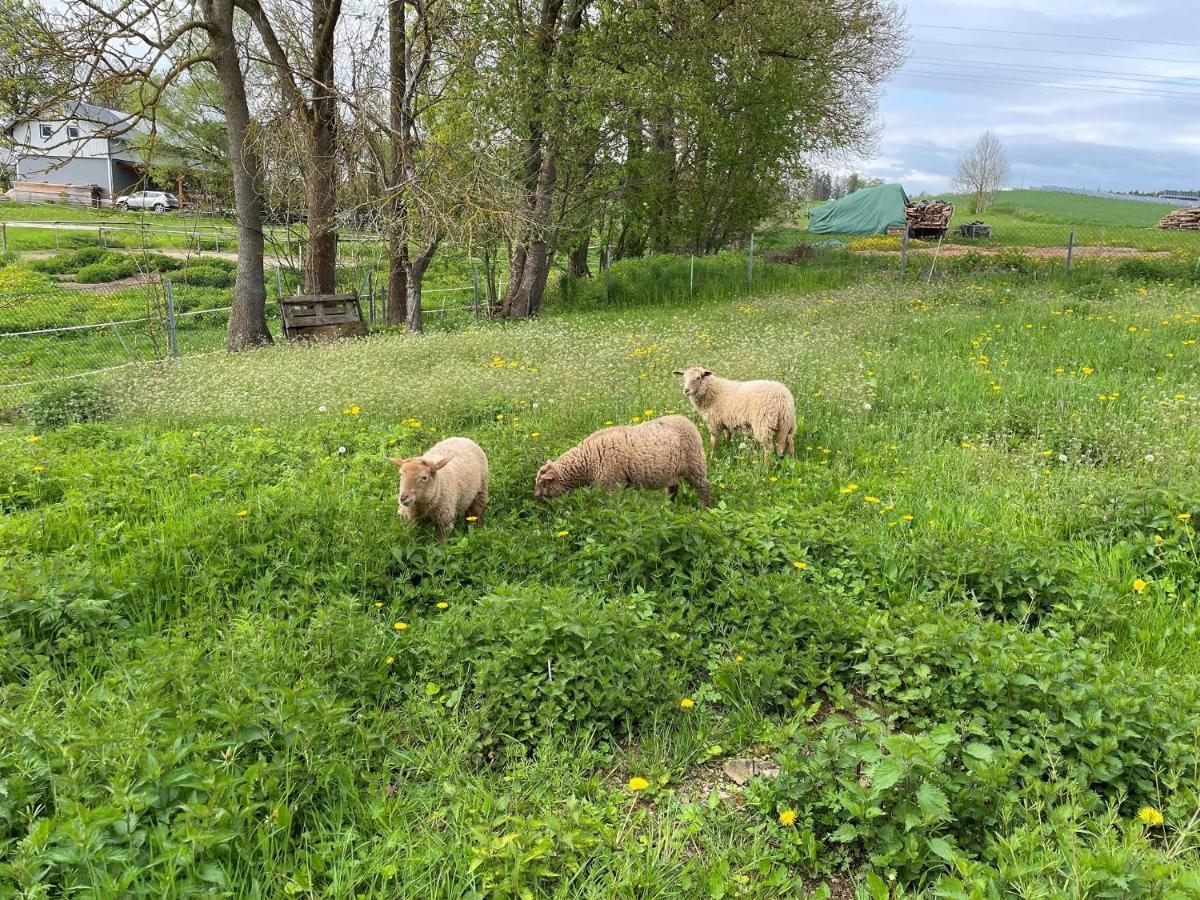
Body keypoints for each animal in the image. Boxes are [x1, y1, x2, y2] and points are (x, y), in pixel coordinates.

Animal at [537, 415, 710, 508]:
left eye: (543, 484)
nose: (536, 500)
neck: (587, 463)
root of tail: (687, 420)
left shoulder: (609, 484)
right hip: (673, 472)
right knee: (673, 489)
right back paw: (668, 506)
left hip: (695, 464)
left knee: (704, 487)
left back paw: (705, 508)